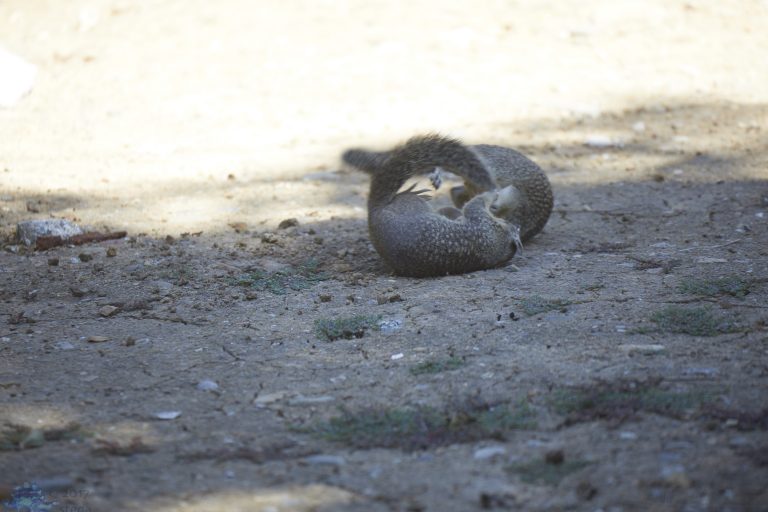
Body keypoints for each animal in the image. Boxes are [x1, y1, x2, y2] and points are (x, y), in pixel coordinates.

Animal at [342, 134, 531, 277]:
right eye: (513, 226)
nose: (511, 224)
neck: (499, 245)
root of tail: (373, 213)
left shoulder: (482, 222)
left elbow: (474, 205)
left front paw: (490, 193)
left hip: (408, 204)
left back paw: (412, 192)